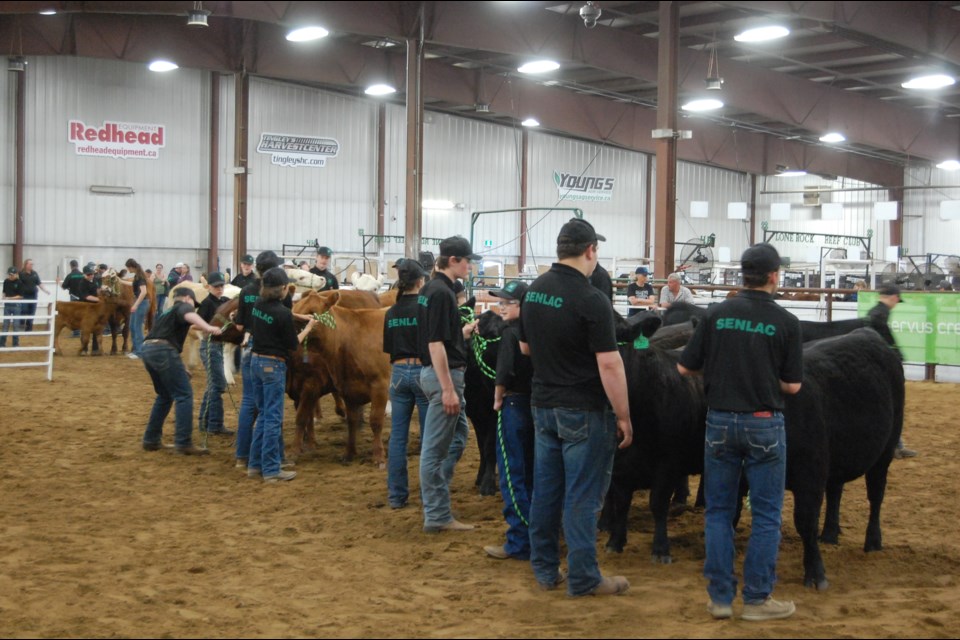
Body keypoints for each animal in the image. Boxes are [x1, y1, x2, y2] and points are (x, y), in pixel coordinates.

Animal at [288, 290, 390, 464]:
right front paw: (349, 453)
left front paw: (378, 456)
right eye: (295, 308)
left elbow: (376, 421)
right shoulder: (347, 388)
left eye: (311, 312)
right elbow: (351, 421)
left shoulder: (380, 386)